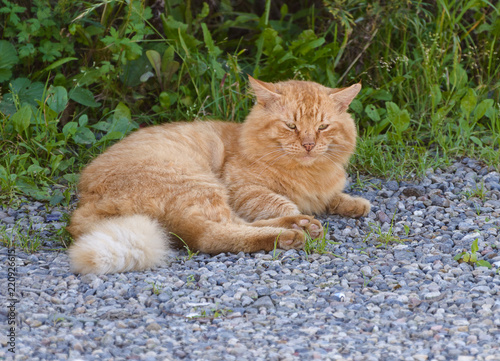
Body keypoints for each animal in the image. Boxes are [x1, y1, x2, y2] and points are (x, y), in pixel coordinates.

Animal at [68, 76, 370, 272]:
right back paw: (294, 230)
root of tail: (86, 203)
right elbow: (280, 201)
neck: (308, 173)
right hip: (199, 185)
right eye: (291, 126)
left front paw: (354, 204)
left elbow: (331, 197)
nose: (308, 145)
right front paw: (304, 213)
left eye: (323, 127)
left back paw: (296, 226)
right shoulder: (244, 191)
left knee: (228, 227)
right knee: (210, 235)